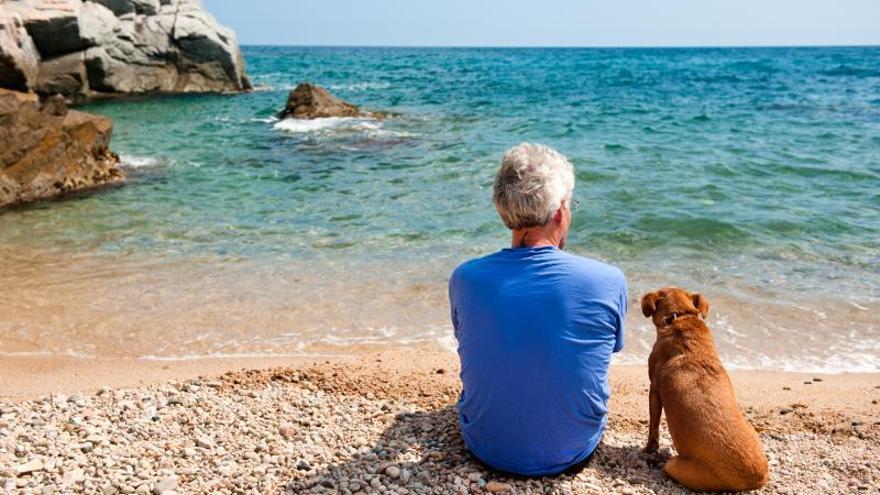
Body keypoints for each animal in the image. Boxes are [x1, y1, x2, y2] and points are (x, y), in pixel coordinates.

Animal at [640, 288, 768, 490]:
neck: (680, 317)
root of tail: (757, 478)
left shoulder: (654, 390)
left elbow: (653, 426)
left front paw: (649, 449)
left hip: (677, 466)